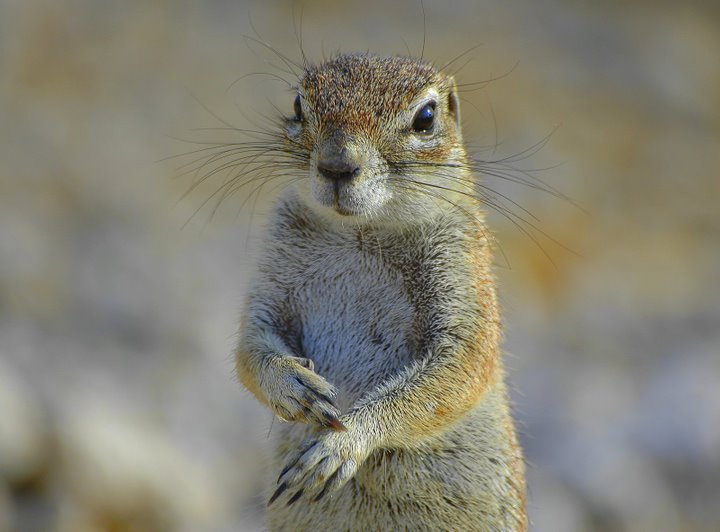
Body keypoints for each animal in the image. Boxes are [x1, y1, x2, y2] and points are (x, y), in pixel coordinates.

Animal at [236, 51, 528, 532]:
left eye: (425, 118)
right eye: (298, 104)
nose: (336, 165)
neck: (361, 230)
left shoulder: (463, 278)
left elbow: (458, 368)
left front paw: (344, 443)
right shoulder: (273, 276)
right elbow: (249, 345)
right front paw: (293, 386)